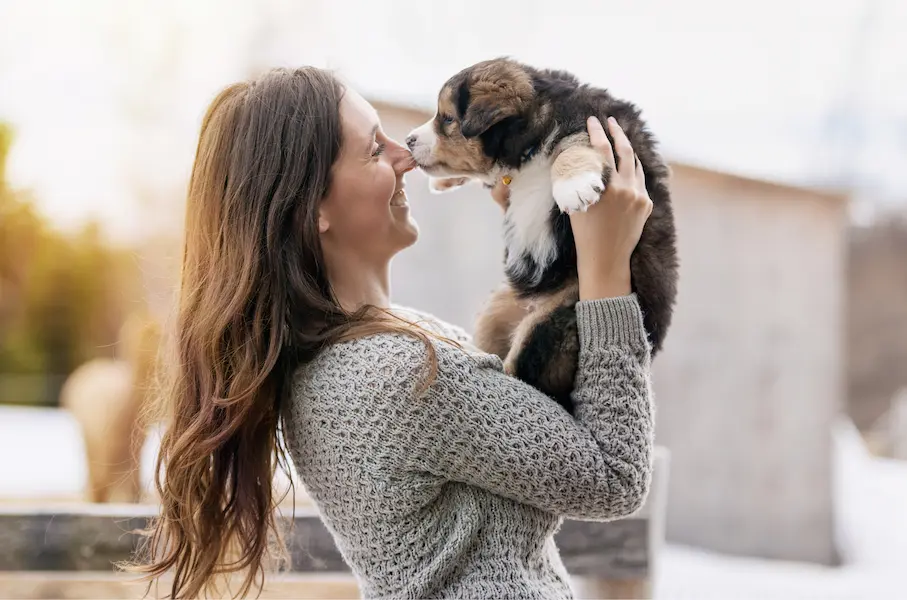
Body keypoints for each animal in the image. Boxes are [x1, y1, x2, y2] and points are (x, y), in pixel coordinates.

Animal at [408, 57, 676, 412]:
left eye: (448, 119)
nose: (408, 140)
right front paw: (442, 181)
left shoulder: (600, 130)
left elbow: (572, 147)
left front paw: (574, 187)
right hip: (497, 308)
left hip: (556, 318)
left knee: (528, 376)